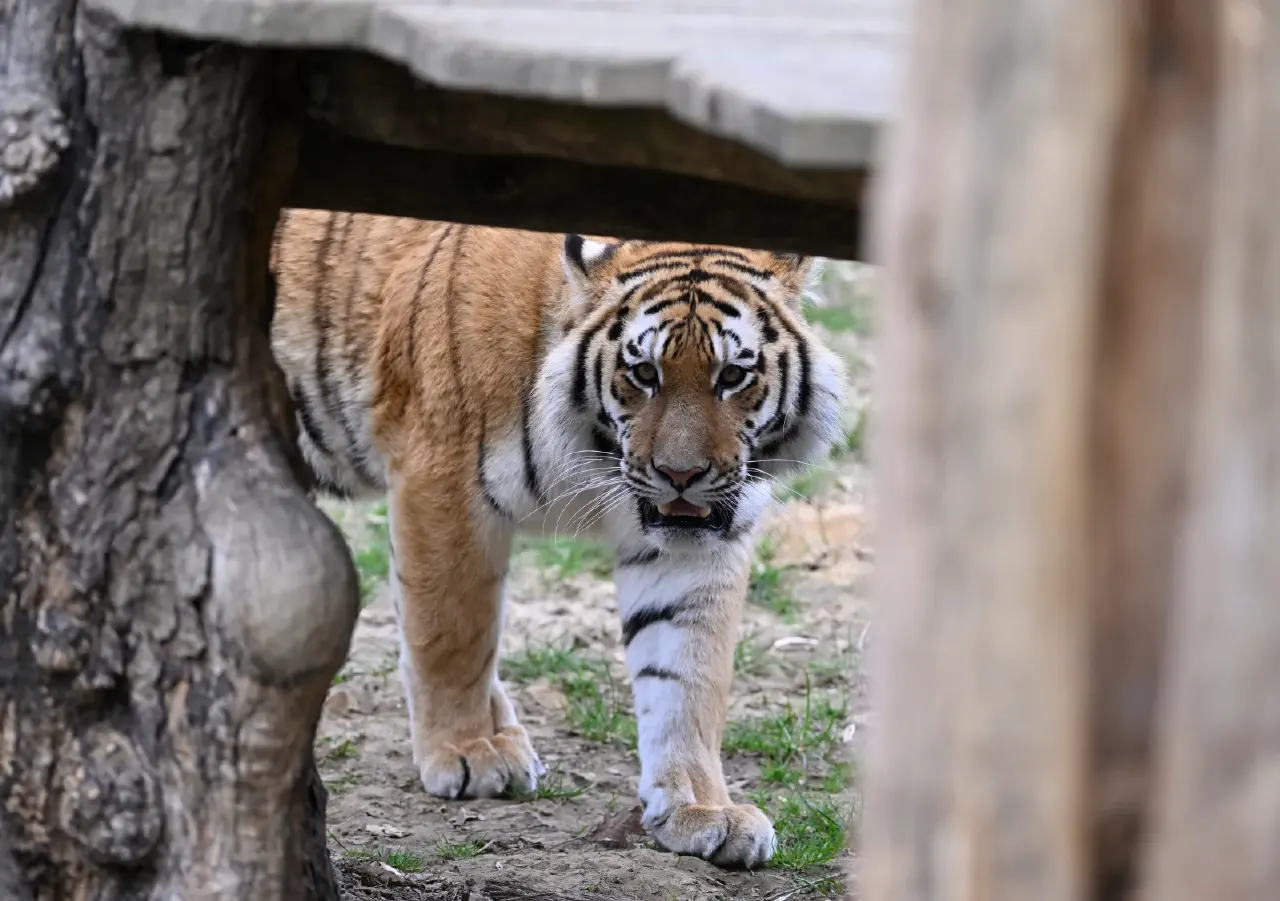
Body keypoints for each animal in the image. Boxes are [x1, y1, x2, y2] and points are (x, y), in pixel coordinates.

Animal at [269, 211, 847, 869]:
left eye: (732, 376)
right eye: (643, 374)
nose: (680, 474)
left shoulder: (691, 544)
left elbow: (687, 676)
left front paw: (703, 808)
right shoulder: (441, 480)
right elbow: (450, 634)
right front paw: (466, 752)